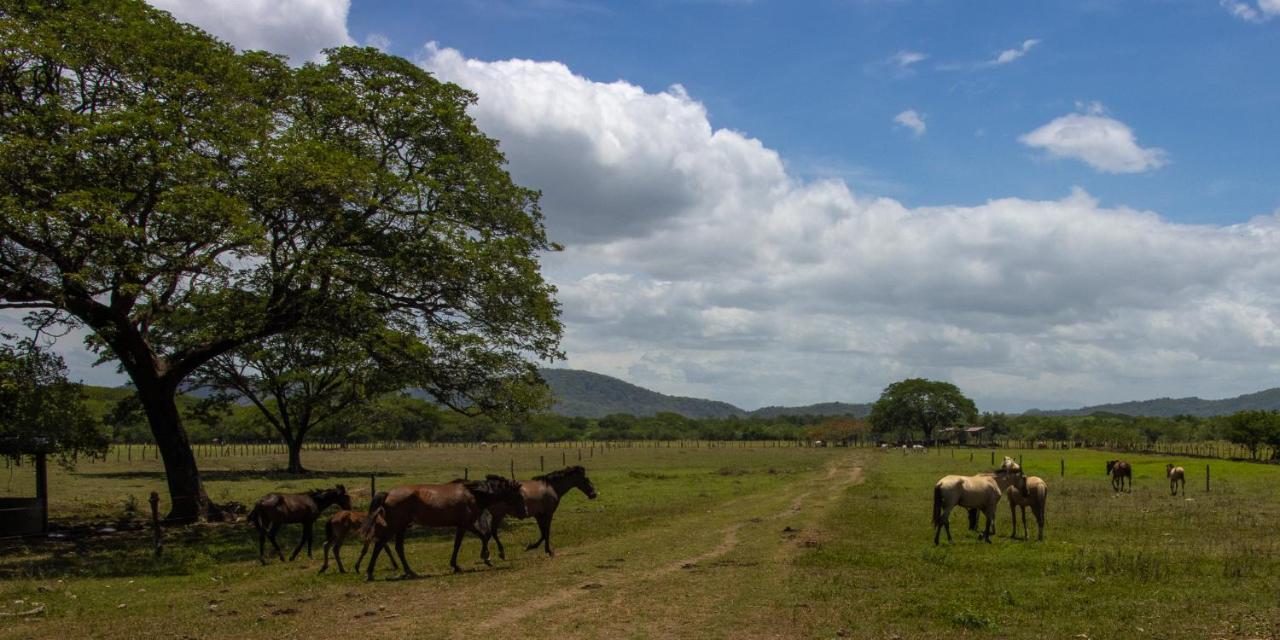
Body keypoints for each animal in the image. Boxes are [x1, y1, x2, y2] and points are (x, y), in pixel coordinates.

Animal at [360, 476, 524, 581]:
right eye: (518, 495)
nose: (524, 512)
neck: (473, 494)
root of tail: (388, 494)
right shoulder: (466, 524)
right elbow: (480, 537)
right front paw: (486, 557)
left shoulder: (463, 525)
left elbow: (465, 542)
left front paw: (457, 565)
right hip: (395, 527)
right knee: (380, 545)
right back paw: (371, 573)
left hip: (401, 527)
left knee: (397, 547)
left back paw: (409, 571)